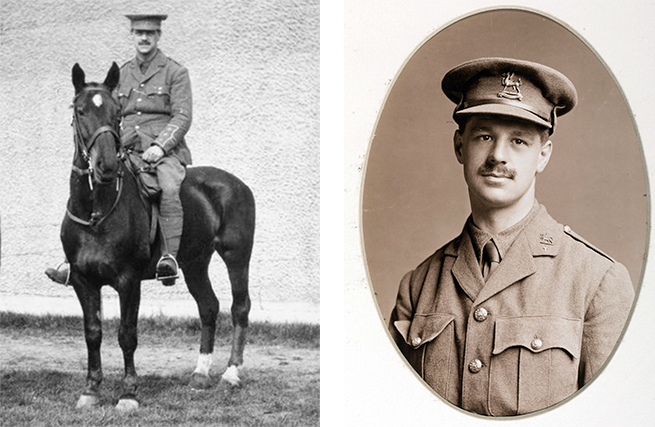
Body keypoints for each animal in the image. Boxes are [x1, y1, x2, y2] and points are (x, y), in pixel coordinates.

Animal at [62, 61, 255, 412]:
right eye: (81, 111)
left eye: (116, 113)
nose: (105, 166)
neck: (96, 211)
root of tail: (237, 184)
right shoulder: (84, 281)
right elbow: (92, 332)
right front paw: (91, 389)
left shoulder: (128, 281)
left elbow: (127, 334)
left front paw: (128, 393)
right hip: (195, 263)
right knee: (208, 307)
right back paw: (200, 373)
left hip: (237, 257)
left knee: (240, 308)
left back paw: (231, 373)